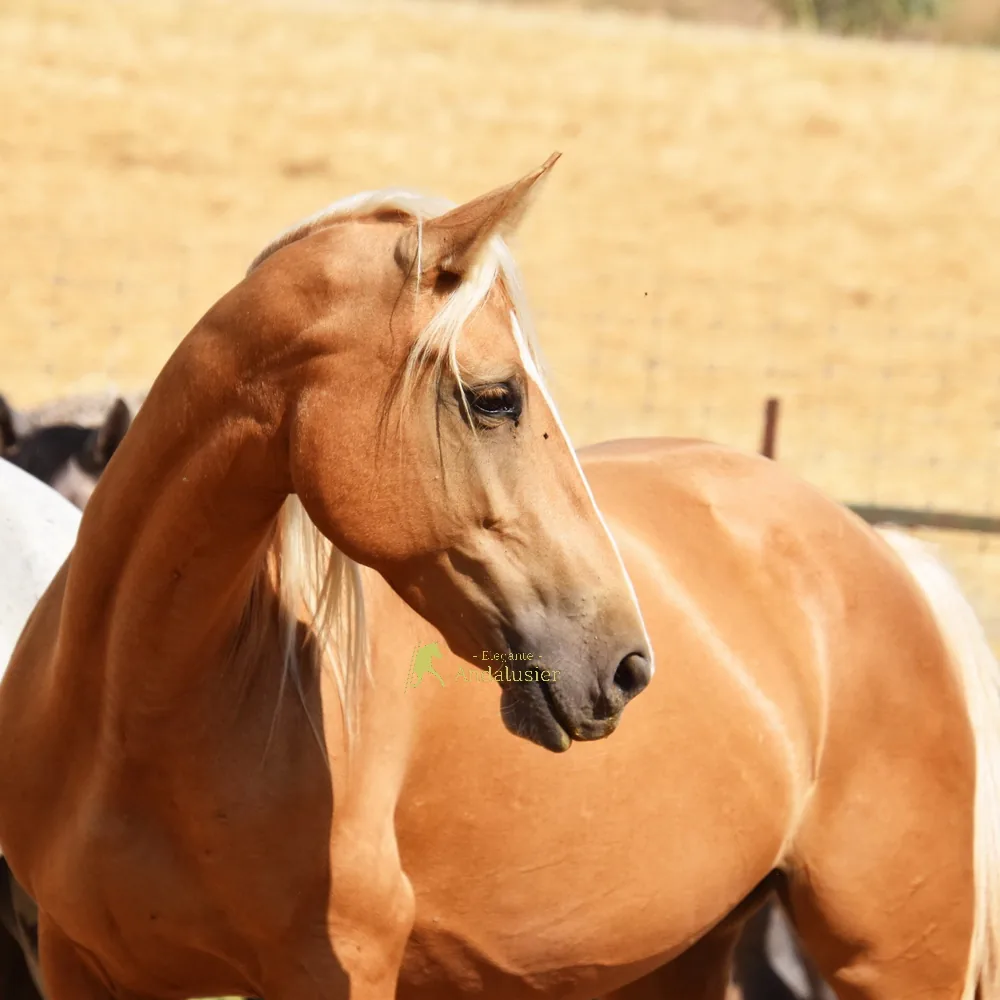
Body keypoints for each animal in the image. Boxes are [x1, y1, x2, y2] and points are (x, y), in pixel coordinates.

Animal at [0, 156, 996, 1000]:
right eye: (495, 397)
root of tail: (883, 550)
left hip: (893, 956)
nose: (627, 664)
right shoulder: (80, 965)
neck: (142, 720)